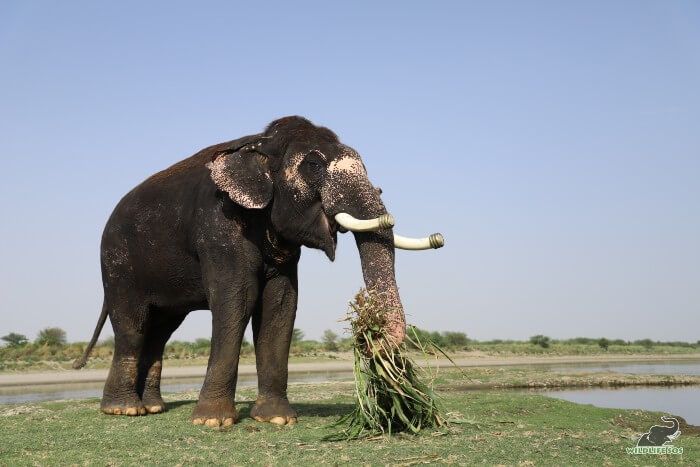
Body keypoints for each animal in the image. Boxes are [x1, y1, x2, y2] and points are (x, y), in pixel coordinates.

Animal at [72, 116, 442, 428]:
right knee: (133, 325)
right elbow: (237, 298)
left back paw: (153, 408)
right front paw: (212, 422)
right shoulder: (219, 224)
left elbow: (280, 304)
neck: (261, 143)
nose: (369, 342)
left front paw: (277, 420)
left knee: (161, 330)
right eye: (313, 165)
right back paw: (124, 410)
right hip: (118, 264)